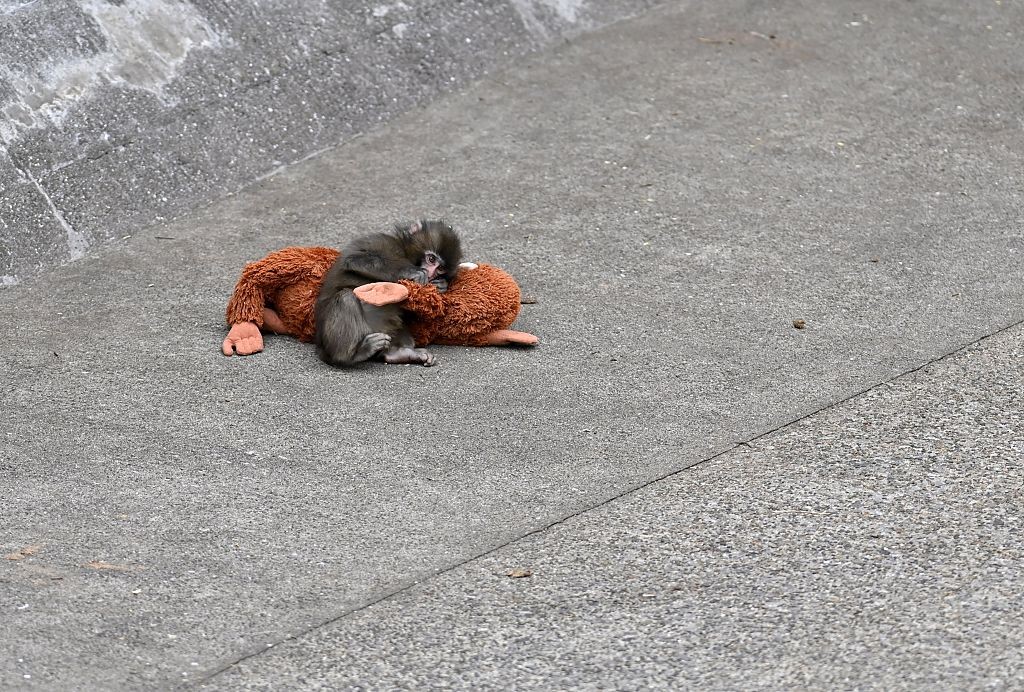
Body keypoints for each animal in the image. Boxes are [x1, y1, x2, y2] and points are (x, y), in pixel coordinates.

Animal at [314, 220, 463, 367]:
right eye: (431, 259)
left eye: (440, 269)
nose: (431, 274)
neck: (403, 252)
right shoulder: (381, 241)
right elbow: (354, 260)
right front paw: (411, 271)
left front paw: (442, 285)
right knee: (346, 298)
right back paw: (352, 355)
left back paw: (397, 353)